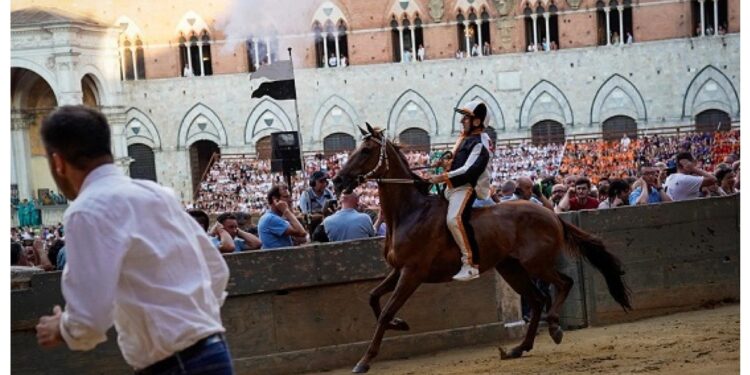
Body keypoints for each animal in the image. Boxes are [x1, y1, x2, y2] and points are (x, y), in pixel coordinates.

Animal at [334, 125, 636, 374]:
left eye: (366, 150)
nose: (338, 181)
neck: (409, 212)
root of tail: (550, 213)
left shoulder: (412, 273)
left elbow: (385, 311)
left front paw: (364, 361)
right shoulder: (399, 270)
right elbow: (373, 298)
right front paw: (400, 324)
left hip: (536, 264)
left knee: (563, 284)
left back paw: (553, 326)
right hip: (510, 268)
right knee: (538, 298)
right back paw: (518, 348)